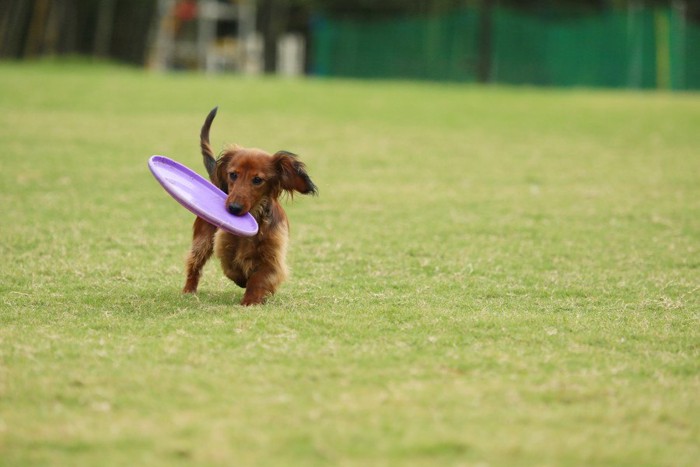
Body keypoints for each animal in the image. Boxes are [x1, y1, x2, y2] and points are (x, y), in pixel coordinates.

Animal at [182, 107, 316, 306]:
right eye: (233, 174)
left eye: (257, 180)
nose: (234, 208)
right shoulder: (224, 246)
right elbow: (233, 268)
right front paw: (243, 281)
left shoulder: (272, 257)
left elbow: (259, 278)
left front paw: (251, 300)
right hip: (203, 240)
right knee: (194, 264)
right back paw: (188, 290)